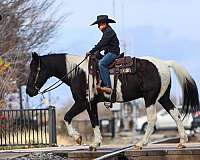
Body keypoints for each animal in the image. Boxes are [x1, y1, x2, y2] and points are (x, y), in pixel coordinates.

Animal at [26, 52, 198, 150]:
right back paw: (182, 141)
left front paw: (78, 138)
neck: (78, 72)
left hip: (150, 98)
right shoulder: (91, 104)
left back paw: (141, 144)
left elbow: (67, 117)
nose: (29, 91)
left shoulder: (82, 102)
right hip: (163, 97)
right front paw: (96, 143)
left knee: (152, 119)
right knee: (176, 114)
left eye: (34, 69)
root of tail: (165, 63)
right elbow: (94, 121)